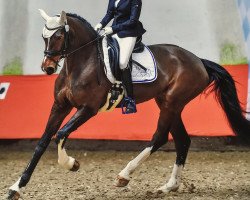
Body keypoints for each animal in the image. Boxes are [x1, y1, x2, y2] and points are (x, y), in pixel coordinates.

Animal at [6, 9, 249, 200]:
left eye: (58, 36)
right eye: (43, 36)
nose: (47, 67)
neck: (80, 63)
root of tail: (198, 60)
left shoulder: (88, 109)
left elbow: (61, 134)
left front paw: (71, 164)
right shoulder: (60, 106)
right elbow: (43, 141)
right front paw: (17, 187)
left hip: (172, 102)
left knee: (160, 137)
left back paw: (124, 175)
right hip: (168, 103)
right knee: (182, 141)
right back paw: (168, 186)